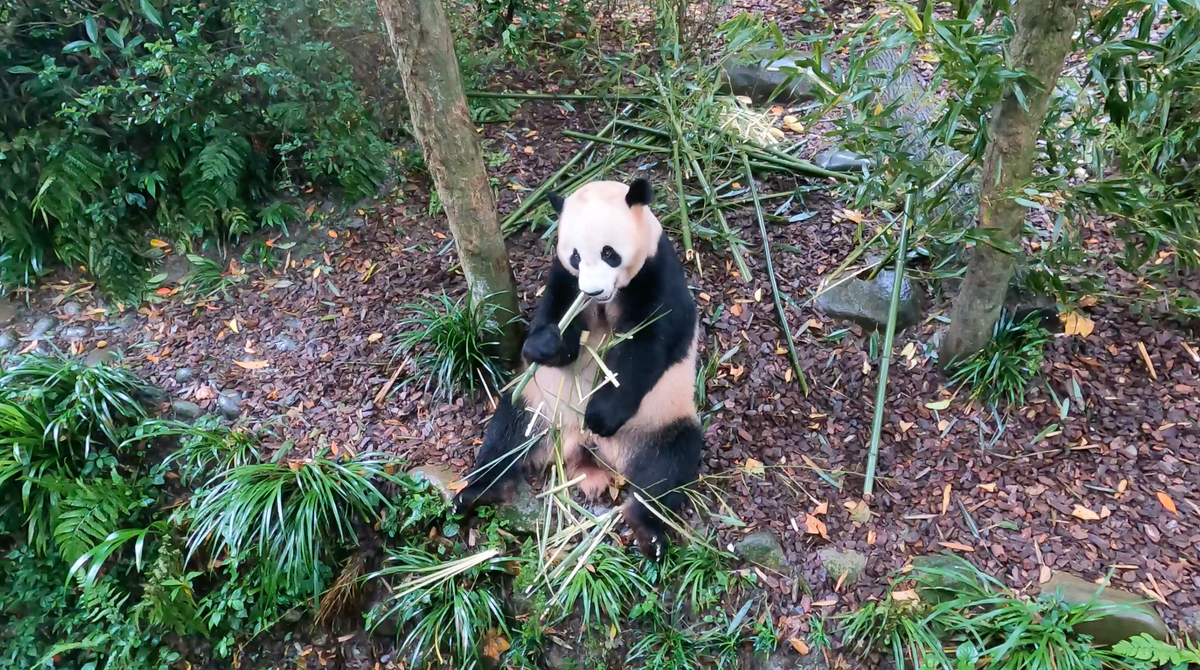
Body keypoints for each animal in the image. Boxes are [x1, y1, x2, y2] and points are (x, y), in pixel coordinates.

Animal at [456, 176, 700, 559]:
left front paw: (601, 415)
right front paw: (545, 344)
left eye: (609, 253)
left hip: (660, 417)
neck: (608, 298)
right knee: (506, 434)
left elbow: (647, 347)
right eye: (575, 255)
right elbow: (555, 321)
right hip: (539, 405)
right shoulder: (565, 279)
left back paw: (648, 530)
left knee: (669, 466)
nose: (594, 290)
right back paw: (477, 491)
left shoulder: (658, 274)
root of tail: (587, 450)